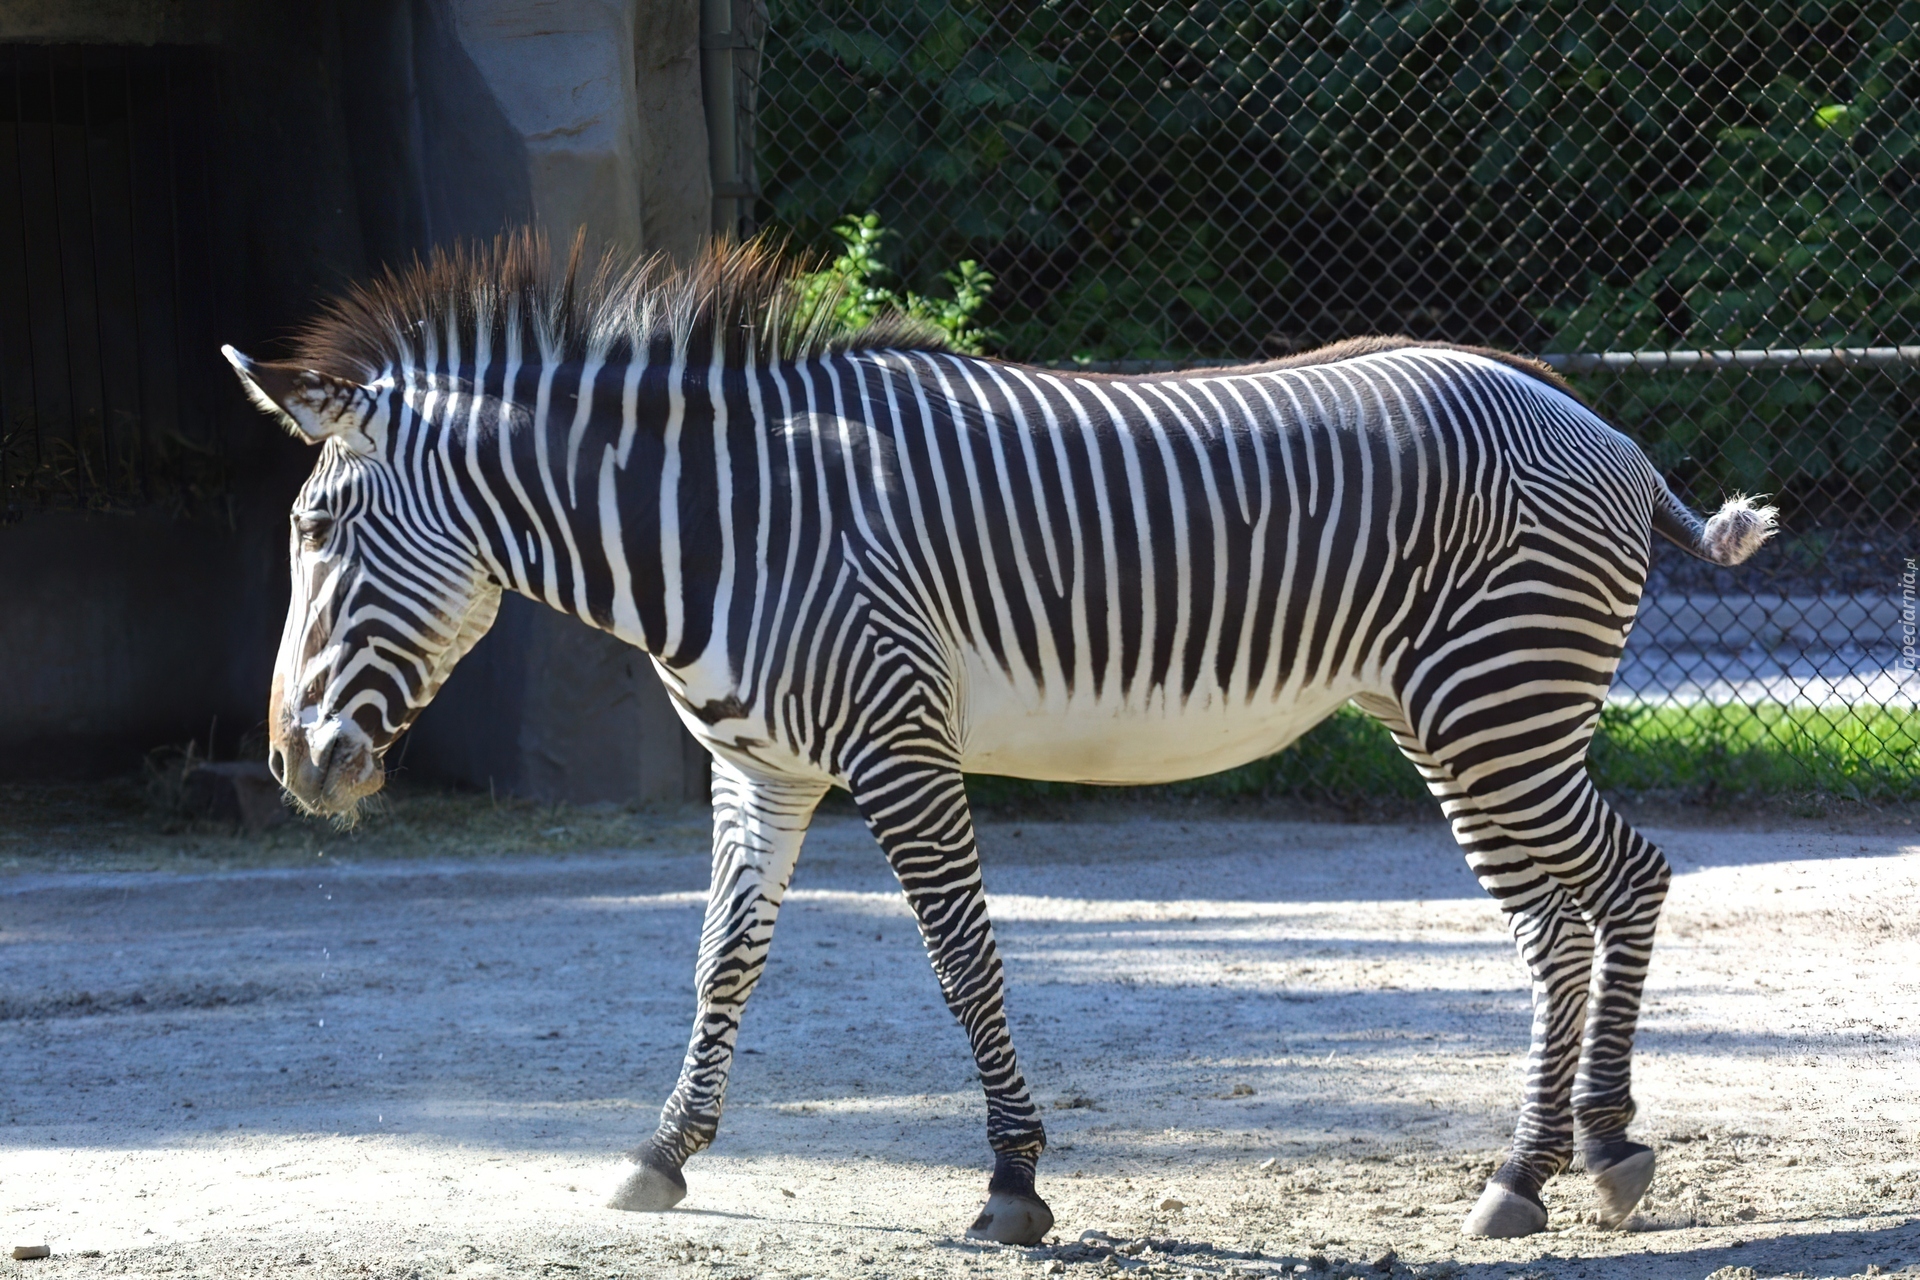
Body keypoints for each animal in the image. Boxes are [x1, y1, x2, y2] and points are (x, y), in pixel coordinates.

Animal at [224, 230, 1766, 1243]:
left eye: (314, 529)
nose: (292, 766)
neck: (723, 528)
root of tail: (1602, 428)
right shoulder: (760, 769)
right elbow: (722, 959)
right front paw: (662, 1152)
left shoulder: (900, 744)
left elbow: (965, 962)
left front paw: (1014, 1181)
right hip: (1452, 720)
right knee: (1564, 917)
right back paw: (1554, 1161)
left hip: (1495, 702)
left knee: (1617, 887)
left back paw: (1571, 1158)